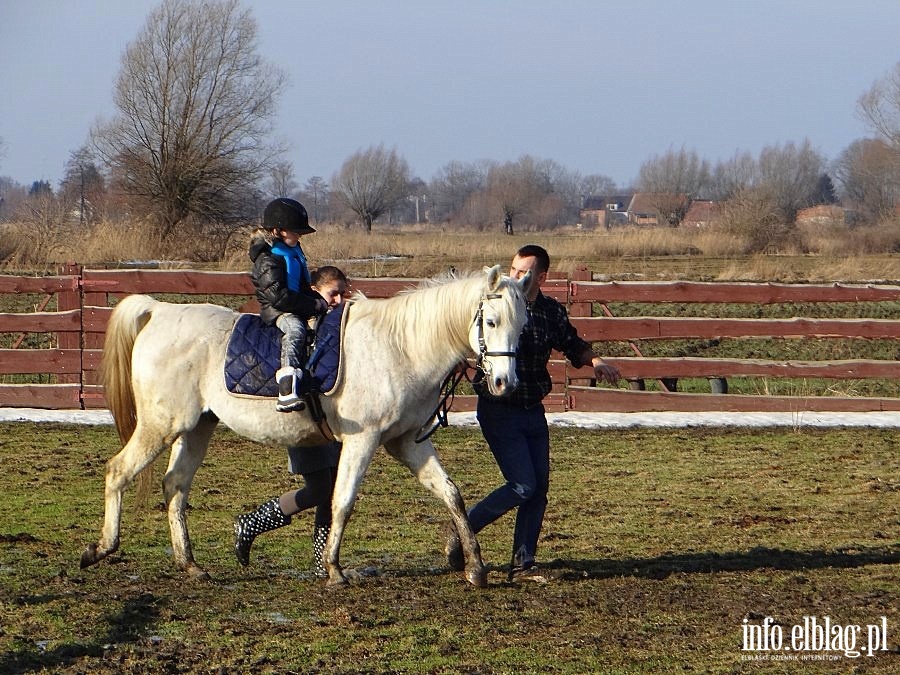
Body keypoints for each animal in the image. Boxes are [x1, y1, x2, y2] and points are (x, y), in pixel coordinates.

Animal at [81, 266, 532, 588]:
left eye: (523, 326)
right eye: (491, 322)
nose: (504, 383)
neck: (401, 347)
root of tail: (160, 310)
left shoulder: (408, 443)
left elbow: (451, 494)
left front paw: (475, 568)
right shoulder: (363, 440)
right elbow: (342, 501)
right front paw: (334, 570)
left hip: (196, 429)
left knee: (175, 486)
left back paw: (189, 564)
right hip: (160, 425)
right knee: (118, 472)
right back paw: (101, 548)